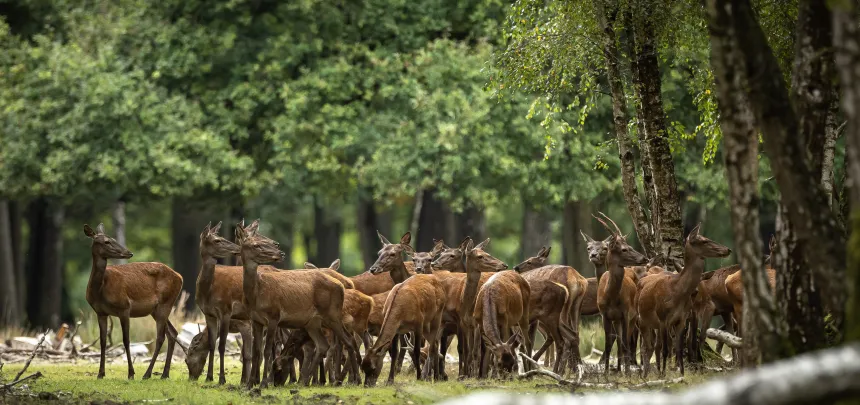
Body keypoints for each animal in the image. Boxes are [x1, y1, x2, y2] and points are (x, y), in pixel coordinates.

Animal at [83, 224, 182, 378]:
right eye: (106, 241)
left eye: (114, 239)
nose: (129, 252)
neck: (100, 290)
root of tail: (180, 277)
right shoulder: (100, 312)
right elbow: (103, 341)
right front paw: (100, 374)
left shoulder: (124, 307)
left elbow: (126, 340)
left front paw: (131, 373)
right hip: (156, 309)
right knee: (172, 333)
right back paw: (164, 374)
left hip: (166, 303)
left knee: (161, 337)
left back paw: (147, 374)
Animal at [235, 223, 360, 386]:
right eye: (256, 244)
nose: (280, 253)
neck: (256, 295)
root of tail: (341, 285)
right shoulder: (255, 319)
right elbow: (257, 351)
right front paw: (250, 384)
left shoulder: (274, 316)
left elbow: (267, 351)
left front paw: (263, 383)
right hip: (313, 322)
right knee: (323, 345)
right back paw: (306, 380)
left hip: (333, 315)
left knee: (348, 341)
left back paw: (353, 380)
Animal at [596, 213, 648, 374]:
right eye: (624, 249)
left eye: (630, 246)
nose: (644, 258)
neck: (611, 297)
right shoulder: (604, 314)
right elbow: (607, 344)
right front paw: (606, 372)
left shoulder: (625, 313)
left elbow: (625, 343)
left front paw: (627, 372)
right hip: (617, 320)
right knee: (619, 341)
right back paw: (618, 368)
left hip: (632, 316)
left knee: (627, 341)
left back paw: (625, 368)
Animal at [636, 224, 728, 376]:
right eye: (704, 241)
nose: (727, 249)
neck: (678, 292)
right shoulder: (663, 318)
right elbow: (666, 349)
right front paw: (664, 374)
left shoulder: (681, 319)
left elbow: (678, 349)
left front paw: (681, 374)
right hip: (641, 319)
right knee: (646, 346)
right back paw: (645, 374)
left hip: (652, 323)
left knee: (651, 346)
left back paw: (648, 373)